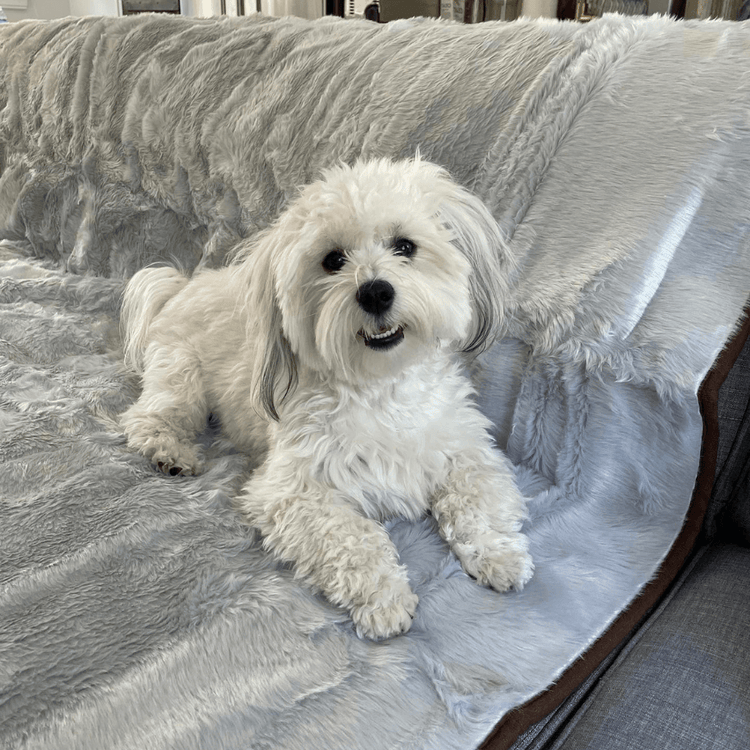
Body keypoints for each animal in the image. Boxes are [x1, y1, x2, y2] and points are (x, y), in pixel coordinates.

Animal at [120, 159, 536, 640]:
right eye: (333, 260)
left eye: (405, 246)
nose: (375, 291)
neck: (381, 387)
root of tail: (183, 285)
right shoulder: (293, 493)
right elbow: (355, 538)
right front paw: (384, 599)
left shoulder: (465, 448)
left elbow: (479, 498)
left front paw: (500, 554)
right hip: (181, 377)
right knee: (150, 416)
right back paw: (171, 452)